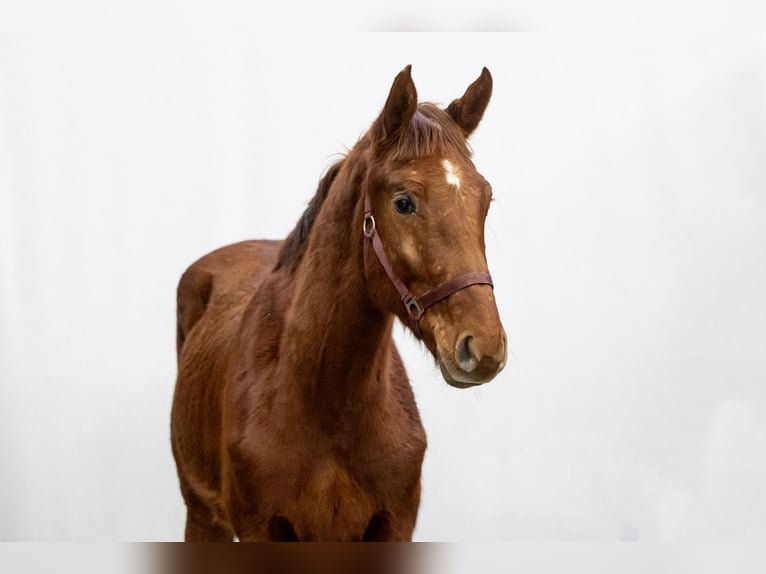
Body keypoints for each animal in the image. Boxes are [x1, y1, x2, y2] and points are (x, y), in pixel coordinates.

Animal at [174, 65, 510, 544]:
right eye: (403, 202)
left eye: (485, 199)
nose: (482, 347)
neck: (325, 405)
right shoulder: (260, 530)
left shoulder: (394, 527)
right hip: (202, 515)